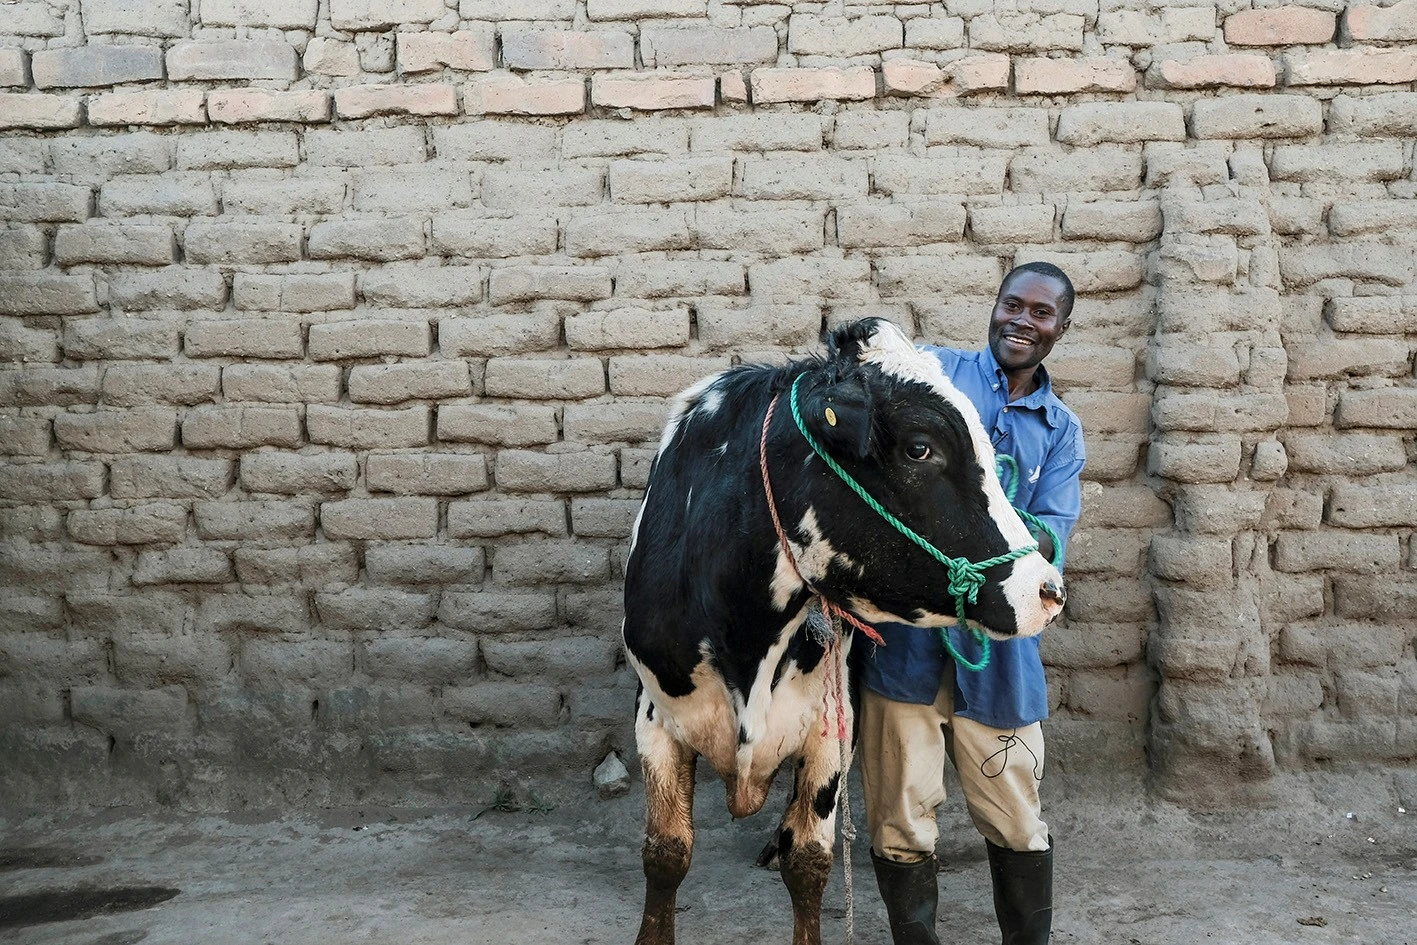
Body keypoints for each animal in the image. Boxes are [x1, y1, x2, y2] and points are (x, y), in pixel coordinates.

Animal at [620, 320, 1065, 945]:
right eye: (919, 447)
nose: (1046, 589)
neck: (747, 641)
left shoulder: (832, 725)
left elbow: (808, 859)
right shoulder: (655, 716)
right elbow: (666, 853)